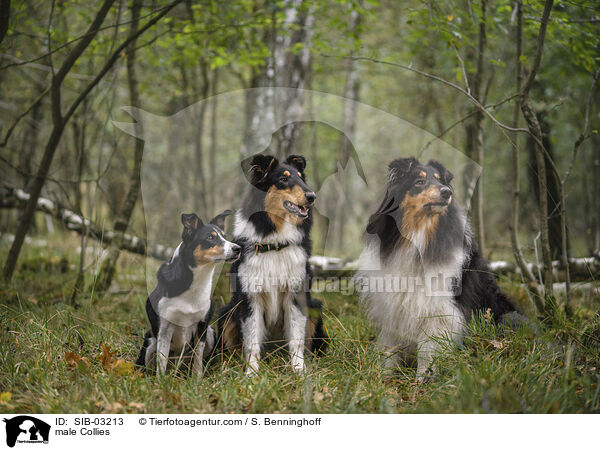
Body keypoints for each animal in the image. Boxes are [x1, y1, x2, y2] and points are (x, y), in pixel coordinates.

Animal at [135, 211, 240, 376]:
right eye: (210, 238)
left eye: (224, 236)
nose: (238, 248)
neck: (193, 284)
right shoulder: (164, 330)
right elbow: (161, 363)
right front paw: (161, 382)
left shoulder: (202, 327)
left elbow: (197, 362)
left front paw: (196, 380)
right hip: (150, 341)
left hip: (210, 333)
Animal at [217, 155, 326, 376]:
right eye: (283, 179)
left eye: (301, 177)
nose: (312, 196)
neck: (275, 241)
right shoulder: (250, 298)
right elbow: (251, 342)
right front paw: (251, 374)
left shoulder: (296, 294)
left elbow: (296, 339)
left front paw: (299, 370)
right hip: (226, 314)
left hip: (315, 308)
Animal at [356, 157, 520, 376]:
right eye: (419, 182)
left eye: (440, 180)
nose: (446, 192)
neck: (418, 236)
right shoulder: (393, 305)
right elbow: (390, 346)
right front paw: (384, 374)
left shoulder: (438, 309)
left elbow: (428, 349)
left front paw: (423, 378)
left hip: (507, 318)